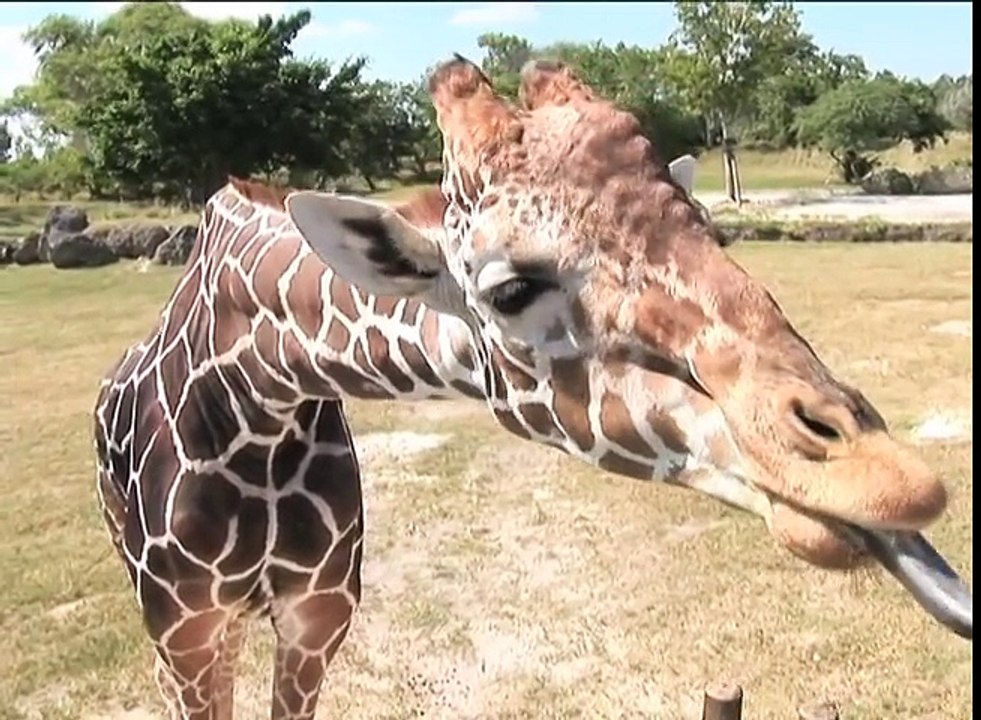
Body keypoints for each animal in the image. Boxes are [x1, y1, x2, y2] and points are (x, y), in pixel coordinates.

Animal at [93, 56, 971, 719]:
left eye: (708, 229)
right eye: (511, 289)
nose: (887, 479)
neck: (258, 395)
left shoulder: (319, 619)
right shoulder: (182, 632)